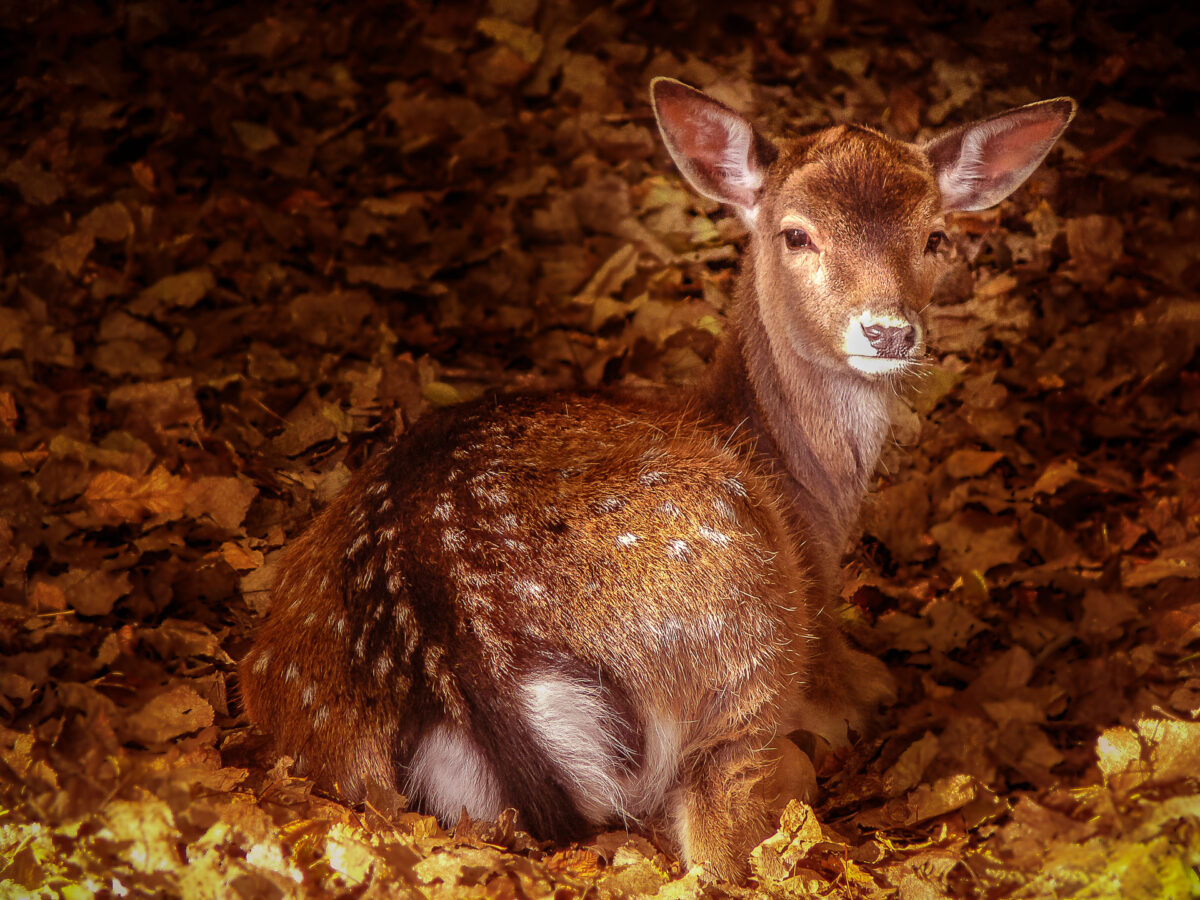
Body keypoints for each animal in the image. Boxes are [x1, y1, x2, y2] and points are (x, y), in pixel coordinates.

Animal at [238, 77, 1075, 883]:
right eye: (796, 233)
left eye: (935, 236)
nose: (888, 330)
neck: (810, 503)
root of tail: (463, 663)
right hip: (740, 597)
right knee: (718, 831)